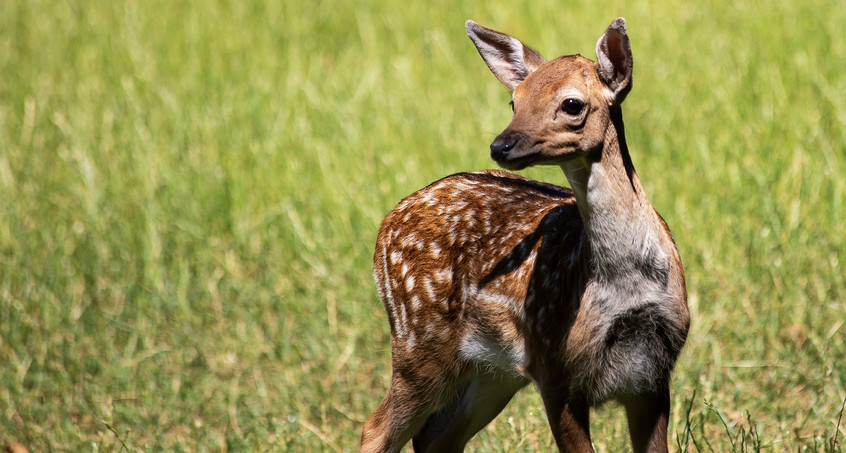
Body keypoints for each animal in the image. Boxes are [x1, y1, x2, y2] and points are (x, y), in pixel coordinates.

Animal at [362, 17, 692, 452]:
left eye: (572, 104)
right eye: (514, 102)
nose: (500, 145)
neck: (625, 286)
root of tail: (387, 221)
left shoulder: (653, 374)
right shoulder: (554, 366)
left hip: (493, 371)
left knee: (436, 436)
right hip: (419, 341)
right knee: (377, 428)